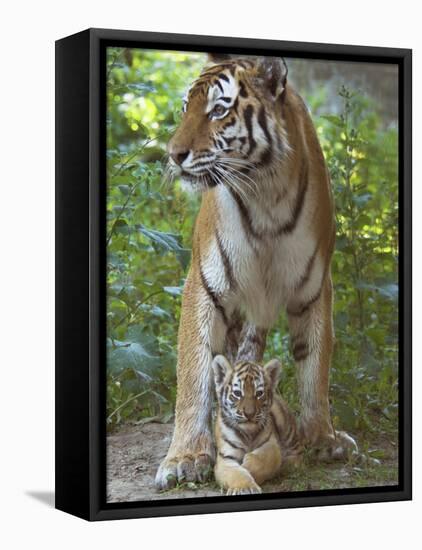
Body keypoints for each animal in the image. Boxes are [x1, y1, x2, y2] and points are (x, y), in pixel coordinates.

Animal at [153, 52, 358, 492]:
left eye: (217, 110)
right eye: (185, 108)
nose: (173, 154)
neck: (266, 192)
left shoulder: (315, 287)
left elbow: (315, 366)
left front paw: (323, 437)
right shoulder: (205, 284)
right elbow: (194, 373)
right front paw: (185, 458)